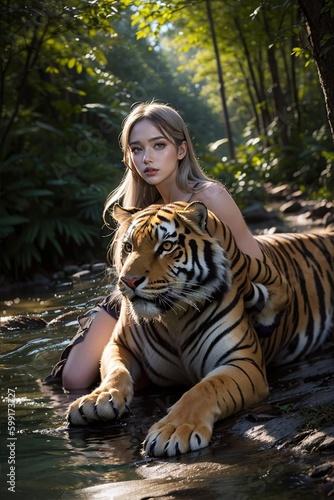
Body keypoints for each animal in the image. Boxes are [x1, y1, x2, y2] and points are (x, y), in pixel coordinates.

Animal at [66, 202, 332, 458]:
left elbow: (204, 389)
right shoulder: (119, 345)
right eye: (128, 247)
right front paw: (97, 399)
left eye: (166, 246)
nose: (129, 281)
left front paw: (174, 431)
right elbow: (116, 371)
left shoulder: (244, 362)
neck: (172, 318)